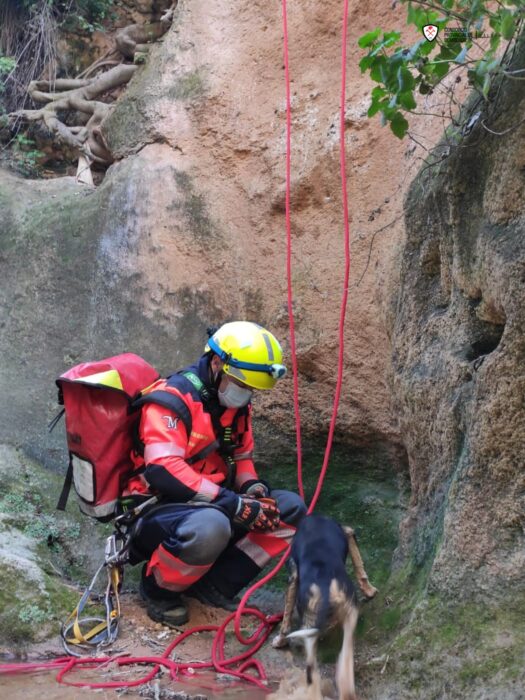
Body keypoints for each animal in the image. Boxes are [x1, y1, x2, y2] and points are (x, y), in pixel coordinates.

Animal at [270, 516, 376, 700]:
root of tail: (326, 587)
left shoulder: (293, 573)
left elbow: (286, 612)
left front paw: (280, 640)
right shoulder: (347, 532)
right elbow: (358, 561)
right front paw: (369, 590)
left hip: (310, 625)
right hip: (346, 619)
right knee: (343, 669)